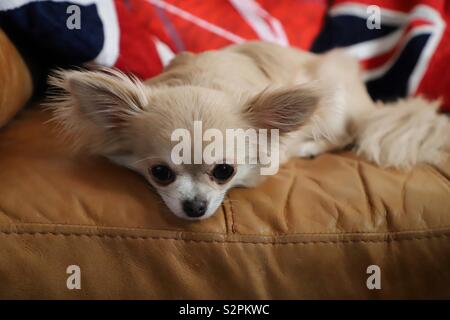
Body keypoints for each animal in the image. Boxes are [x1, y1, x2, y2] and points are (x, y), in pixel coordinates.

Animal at [46, 40, 450, 220]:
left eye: (224, 171)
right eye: (160, 173)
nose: (195, 207)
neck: (203, 77)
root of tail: (368, 103)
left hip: (334, 97)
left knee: (347, 134)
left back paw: (309, 147)